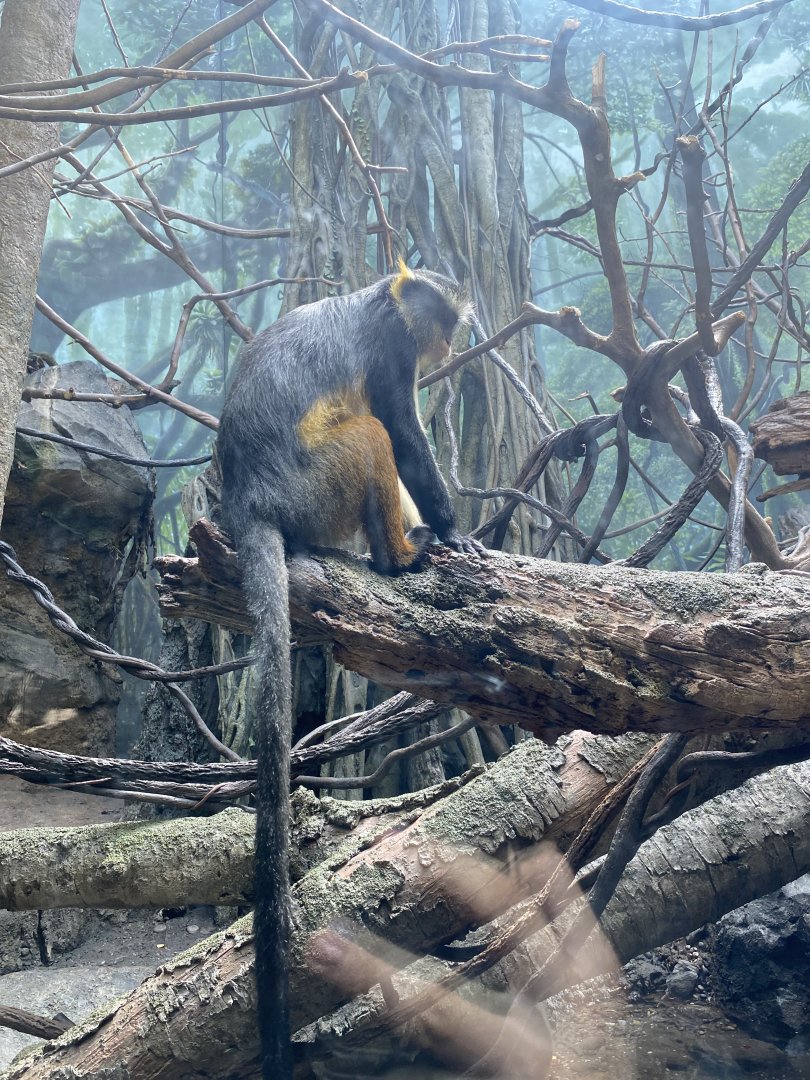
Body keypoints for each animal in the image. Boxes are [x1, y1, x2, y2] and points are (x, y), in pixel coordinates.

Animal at [216, 260, 483, 1079]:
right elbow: (401, 430)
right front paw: (453, 533)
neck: (377, 301)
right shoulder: (393, 354)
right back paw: (399, 557)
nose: (449, 346)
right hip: (318, 488)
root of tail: (246, 501)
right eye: (442, 322)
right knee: (369, 433)